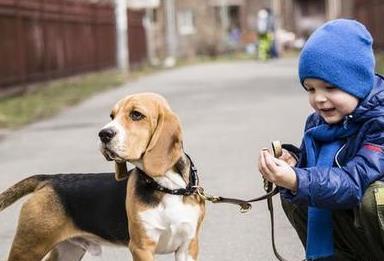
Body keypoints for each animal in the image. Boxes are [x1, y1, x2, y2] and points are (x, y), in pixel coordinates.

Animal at [0, 92, 206, 258]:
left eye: (136, 115)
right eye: (112, 116)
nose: (103, 134)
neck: (168, 187)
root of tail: (49, 179)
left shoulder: (188, 246)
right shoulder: (141, 248)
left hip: (68, 249)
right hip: (29, 247)